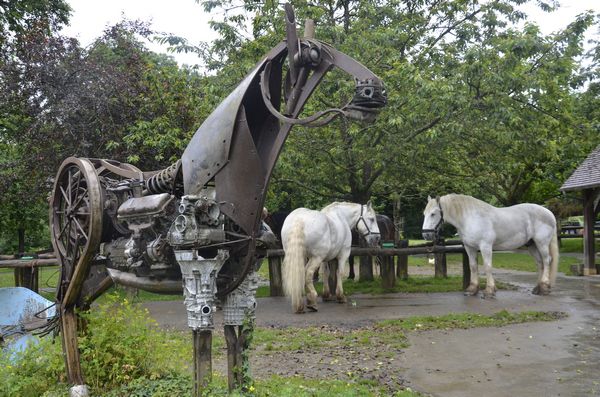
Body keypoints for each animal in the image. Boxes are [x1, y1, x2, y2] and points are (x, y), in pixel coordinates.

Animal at [422, 193, 556, 298]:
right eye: (424, 213)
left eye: (433, 214)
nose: (426, 234)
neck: (470, 218)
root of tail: (549, 213)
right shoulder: (469, 248)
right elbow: (473, 266)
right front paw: (472, 290)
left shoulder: (485, 246)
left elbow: (487, 266)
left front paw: (489, 291)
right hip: (532, 245)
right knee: (540, 263)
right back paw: (538, 288)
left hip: (542, 243)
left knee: (547, 260)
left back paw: (544, 287)